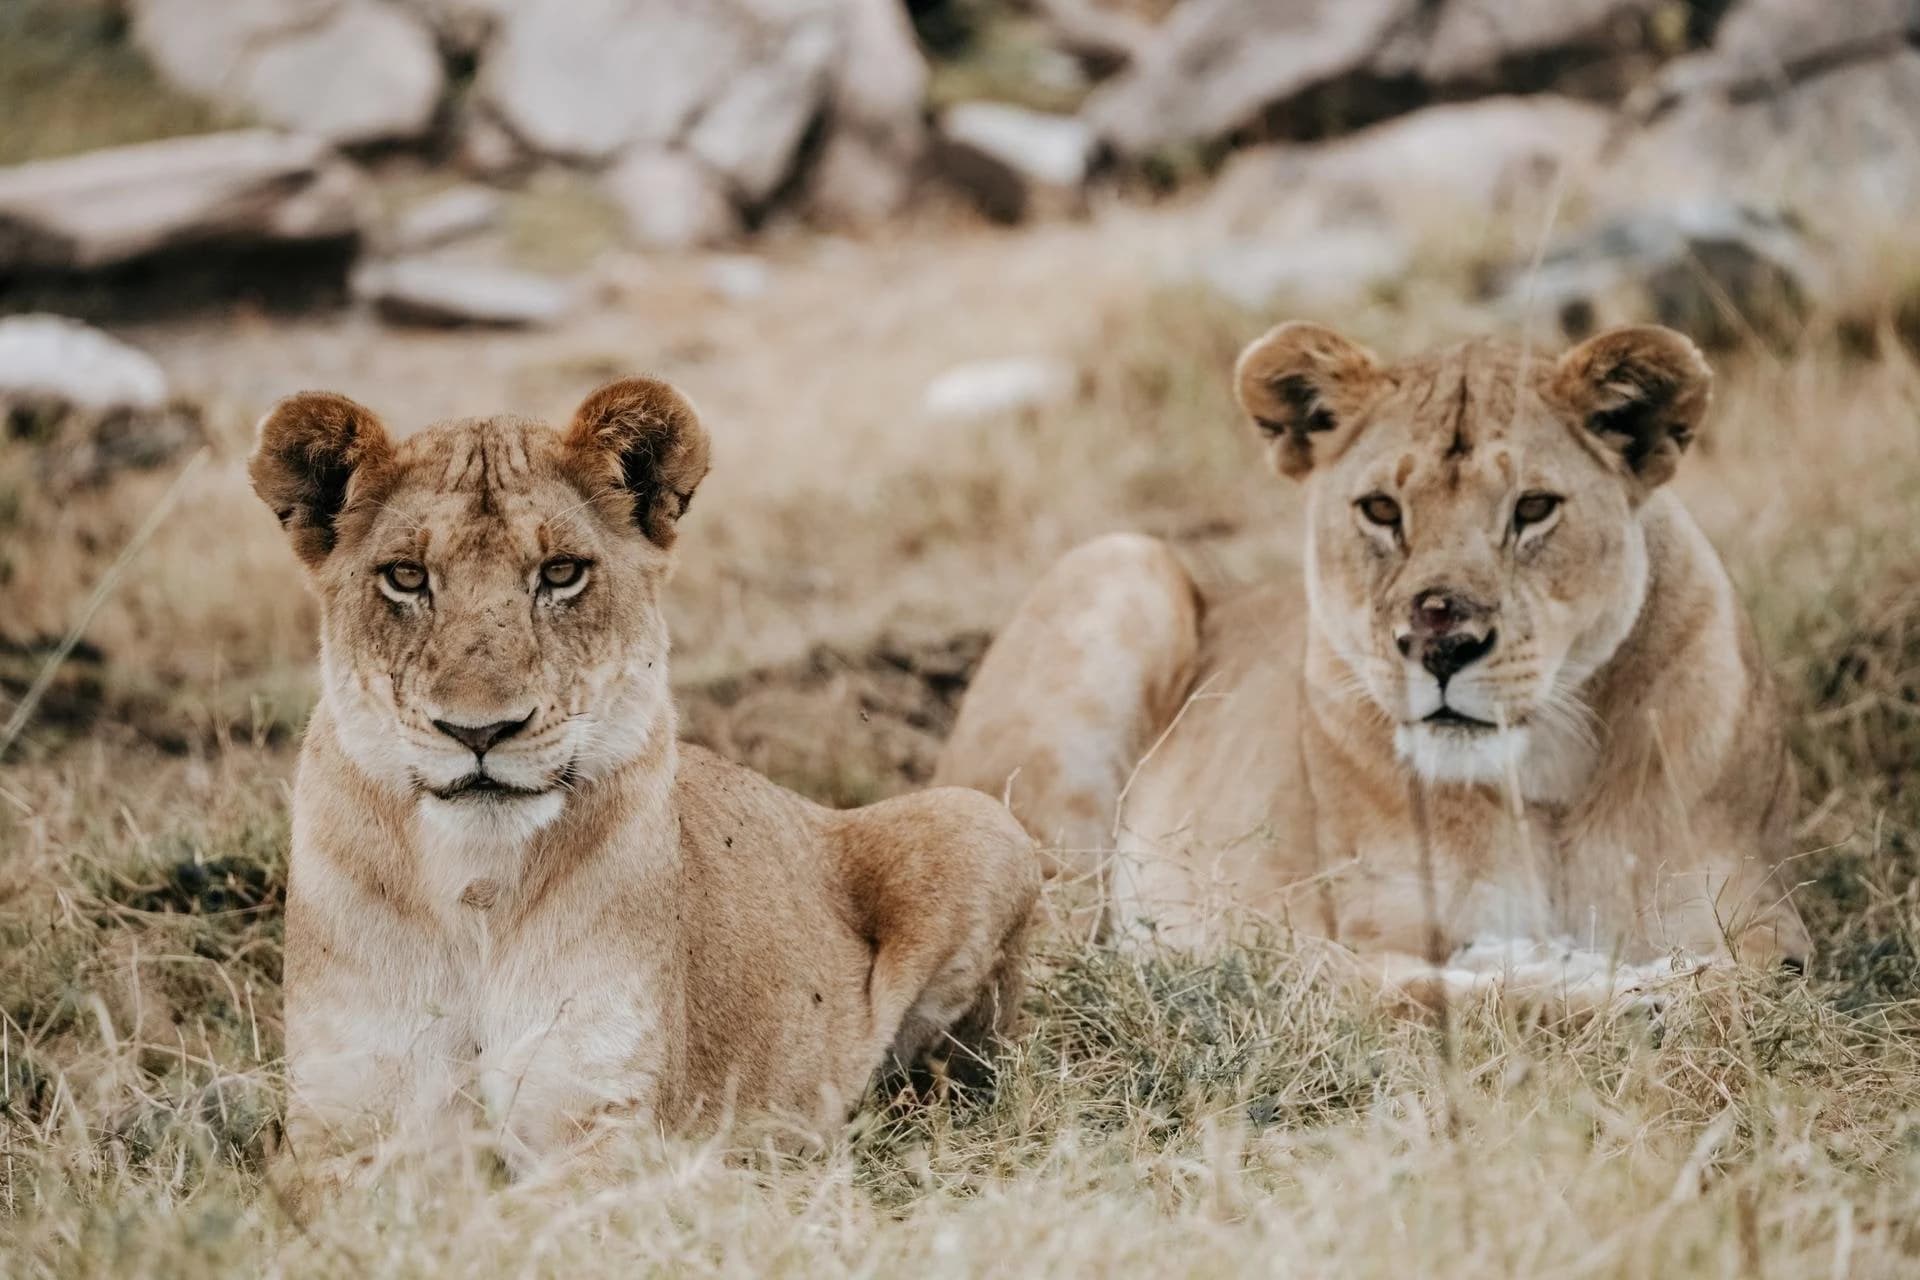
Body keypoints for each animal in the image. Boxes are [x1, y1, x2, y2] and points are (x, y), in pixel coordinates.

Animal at [248, 378, 1039, 1194]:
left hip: (976, 820)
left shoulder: (615, 1127)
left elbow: (510, 1213)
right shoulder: (333, 1130)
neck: (477, 888)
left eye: (561, 573)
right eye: (405, 577)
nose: (481, 731)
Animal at [936, 322, 1811, 1008]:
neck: (1546, 784)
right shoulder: (1371, 928)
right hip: (1117, 569)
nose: (1442, 643)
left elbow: (1747, 983)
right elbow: (1445, 992)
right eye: (1382, 510)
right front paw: (1572, 978)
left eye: (1533, 508)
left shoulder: (1761, 917)